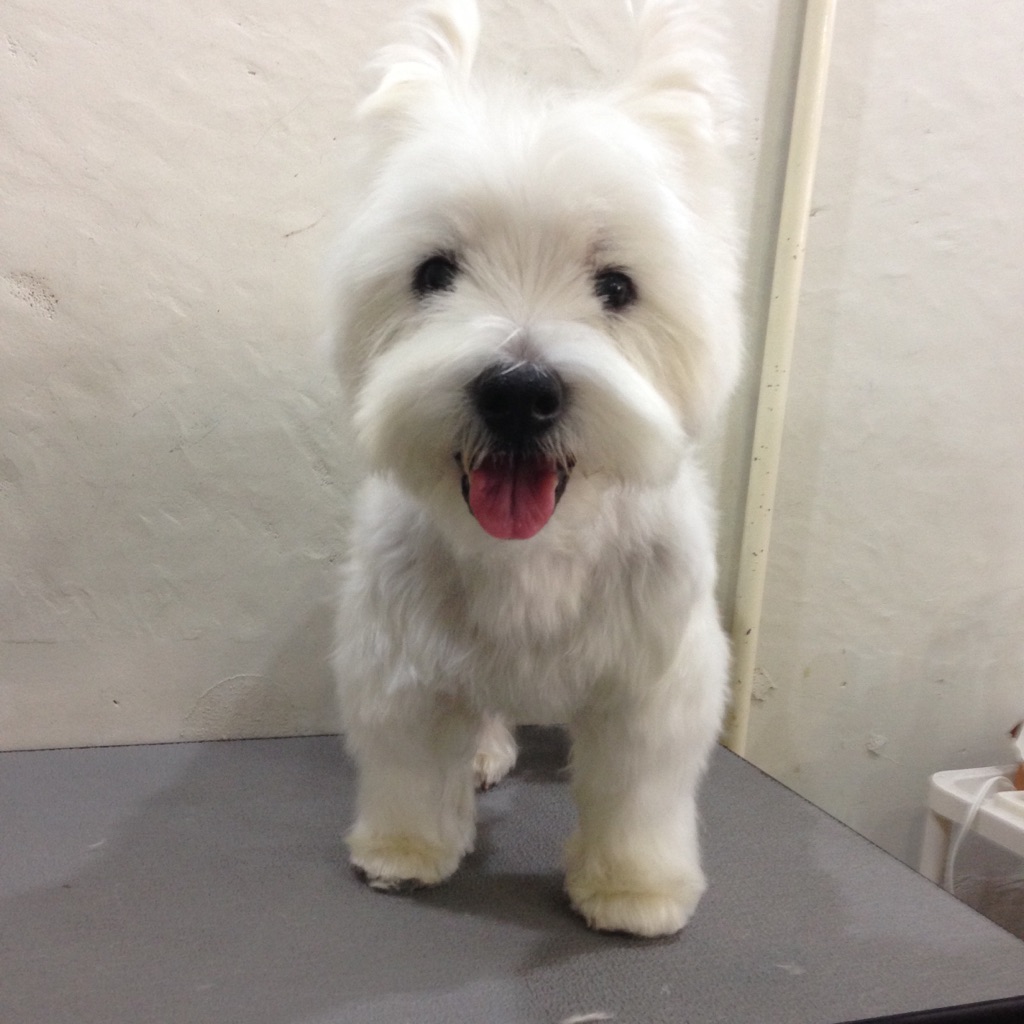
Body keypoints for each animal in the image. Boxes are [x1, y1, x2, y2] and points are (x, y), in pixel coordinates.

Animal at [328, 0, 742, 938]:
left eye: (617, 286)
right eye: (434, 273)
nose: (519, 392)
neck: (536, 550)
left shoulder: (654, 677)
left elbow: (638, 791)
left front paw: (634, 890)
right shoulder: (401, 656)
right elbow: (412, 761)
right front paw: (405, 850)